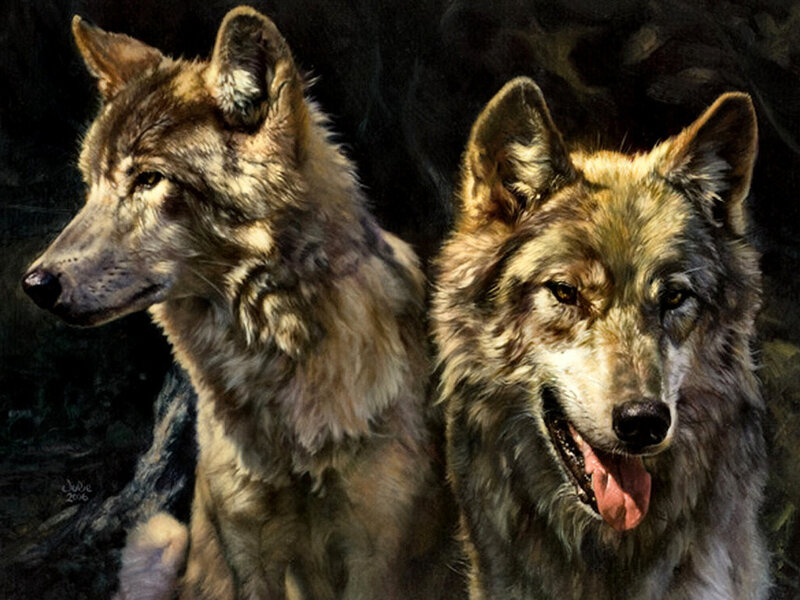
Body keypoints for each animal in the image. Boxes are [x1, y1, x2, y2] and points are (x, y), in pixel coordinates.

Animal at [22, 7, 460, 599]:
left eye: (149, 179)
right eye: (91, 185)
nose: (35, 283)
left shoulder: (378, 557)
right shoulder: (248, 547)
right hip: (169, 541)